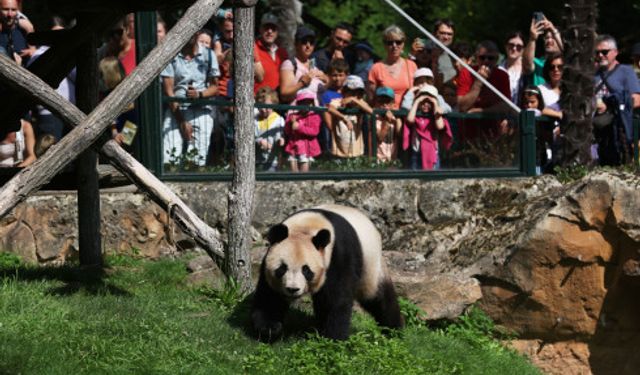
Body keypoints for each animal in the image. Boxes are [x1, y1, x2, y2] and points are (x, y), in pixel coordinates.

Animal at [252, 204, 402, 342]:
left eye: (306, 270)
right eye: (282, 268)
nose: (292, 289)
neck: (306, 226)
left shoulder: (338, 255)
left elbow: (336, 299)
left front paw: (334, 339)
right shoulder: (269, 263)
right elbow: (270, 296)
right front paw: (270, 329)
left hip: (370, 264)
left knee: (377, 297)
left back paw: (394, 330)